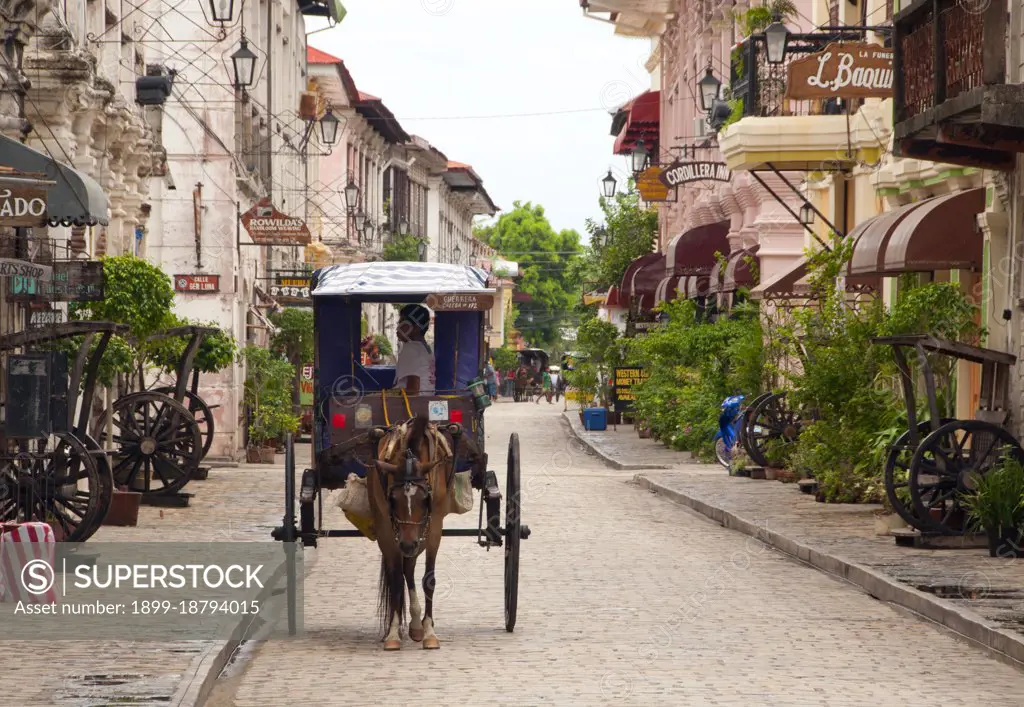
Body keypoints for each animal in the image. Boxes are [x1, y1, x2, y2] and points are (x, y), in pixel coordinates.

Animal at [364, 413, 452, 651]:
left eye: (425, 499)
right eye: (393, 499)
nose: (407, 544)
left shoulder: (433, 528)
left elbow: (429, 580)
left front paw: (429, 631)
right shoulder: (388, 531)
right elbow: (395, 581)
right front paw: (393, 633)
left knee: (409, 569)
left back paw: (417, 625)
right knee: (402, 572)